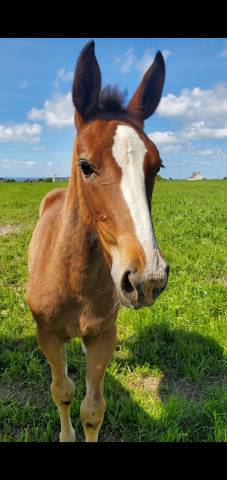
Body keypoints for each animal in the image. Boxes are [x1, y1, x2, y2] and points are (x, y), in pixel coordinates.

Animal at [26, 41, 168, 442]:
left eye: (157, 166)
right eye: (85, 165)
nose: (147, 278)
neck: (74, 280)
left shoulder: (103, 335)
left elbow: (92, 410)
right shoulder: (47, 334)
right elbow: (62, 391)